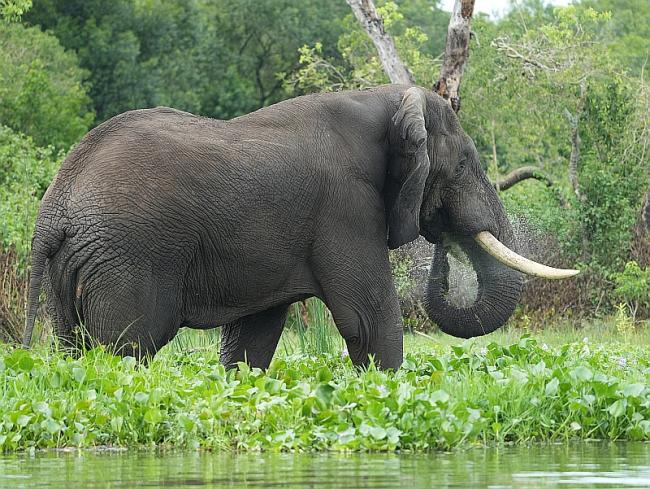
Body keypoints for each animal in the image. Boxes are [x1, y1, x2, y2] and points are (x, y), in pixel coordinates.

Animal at [22, 85, 576, 366]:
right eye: (462, 164)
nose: (442, 234)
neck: (385, 99)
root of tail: (54, 210)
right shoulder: (346, 207)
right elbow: (371, 320)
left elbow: (253, 338)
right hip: (127, 258)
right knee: (128, 348)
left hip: (76, 265)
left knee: (75, 349)